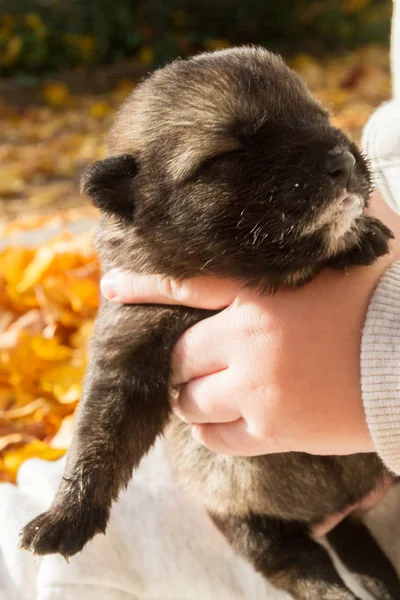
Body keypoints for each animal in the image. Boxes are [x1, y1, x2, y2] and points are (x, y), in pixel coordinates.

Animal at [20, 48, 398, 600]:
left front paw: (360, 234)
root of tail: (337, 511)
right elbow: (100, 435)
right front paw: (65, 517)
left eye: (320, 116)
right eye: (228, 155)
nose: (343, 161)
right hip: (241, 518)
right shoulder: (128, 351)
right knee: (300, 564)